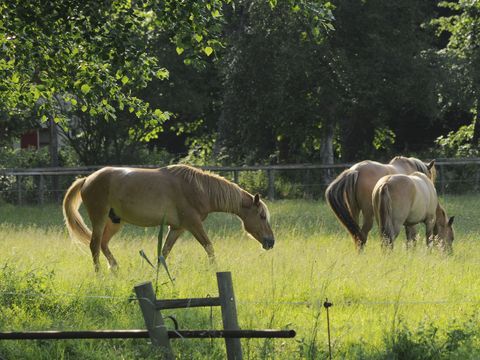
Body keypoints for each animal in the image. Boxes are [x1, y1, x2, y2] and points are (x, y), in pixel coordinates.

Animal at [62, 165, 276, 272]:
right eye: (262, 216)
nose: (271, 242)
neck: (198, 189)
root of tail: (87, 179)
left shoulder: (177, 228)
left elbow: (164, 252)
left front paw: (158, 273)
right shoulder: (193, 224)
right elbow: (209, 247)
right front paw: (215, 269)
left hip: (114, 221)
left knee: (103, 244)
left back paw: (114, 268)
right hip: (99, 218)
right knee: (94, 245)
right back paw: (99, 274)